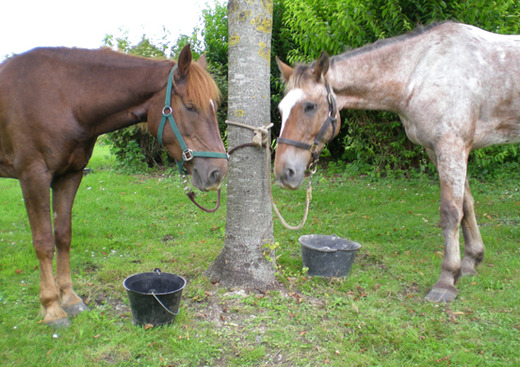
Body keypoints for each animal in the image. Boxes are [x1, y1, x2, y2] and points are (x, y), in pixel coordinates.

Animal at [0, 43, 228, 328]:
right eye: (190, 106)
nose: (218, 172)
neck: (63, 97)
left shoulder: (70, 175)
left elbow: (63, 235)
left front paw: (70, 299)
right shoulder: (33, 176)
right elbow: (43, 243)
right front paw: (52, 308)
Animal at [274, 23, 520, 304]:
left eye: (310, 106)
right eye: (281, 109)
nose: (284, 172)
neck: (422, 71)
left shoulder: (452, 145)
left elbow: (451, 212)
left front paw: (447, 280)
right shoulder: (436, 149)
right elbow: (466, 205)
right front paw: (471, 262)